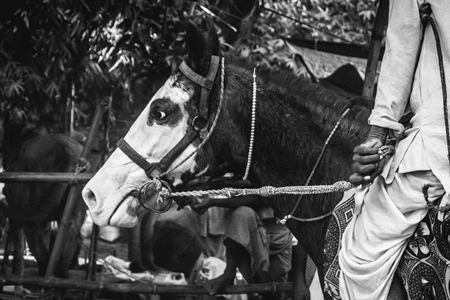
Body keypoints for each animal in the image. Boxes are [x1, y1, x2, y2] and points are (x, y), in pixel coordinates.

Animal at [1, 112, 88, 278]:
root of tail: (66, 151)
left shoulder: (16, 213)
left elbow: (18, 242)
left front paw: (16, 271)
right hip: (75, 209)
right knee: (70, 236)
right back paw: (61, 274)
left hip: (33, 210)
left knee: (36, 240)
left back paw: (44, 272)